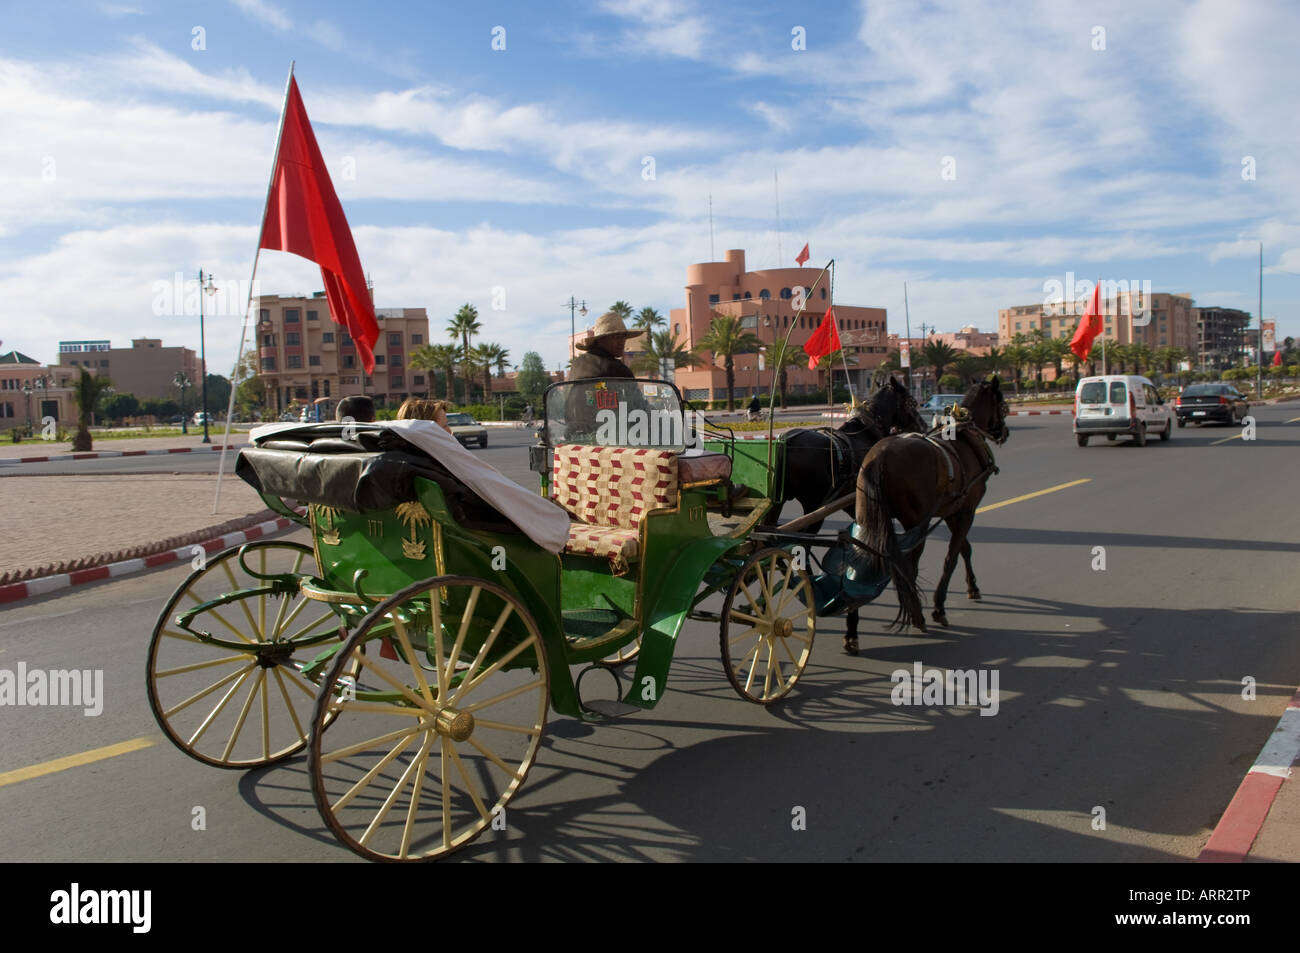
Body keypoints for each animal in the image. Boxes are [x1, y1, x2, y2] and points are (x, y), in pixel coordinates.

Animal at [764, 374, 930, 650]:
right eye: (911, 401)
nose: (924, 426)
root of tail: (786, 441)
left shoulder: (851, 505)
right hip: (814, 506)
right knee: (799, 547)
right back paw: (810, 592)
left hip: (781, 504)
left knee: (769, 540)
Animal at [852, 374, 1013, 631]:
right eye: (1002, 405)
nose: (1004, 432)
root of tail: (880, 457)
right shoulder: (967, 510)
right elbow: (952, 556)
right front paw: (939, 606)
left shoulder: (951, 511)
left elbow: (965, 548)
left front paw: (973, 587)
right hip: (917, 522)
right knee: (909, 562)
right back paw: (917, 612)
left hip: (870, 516)